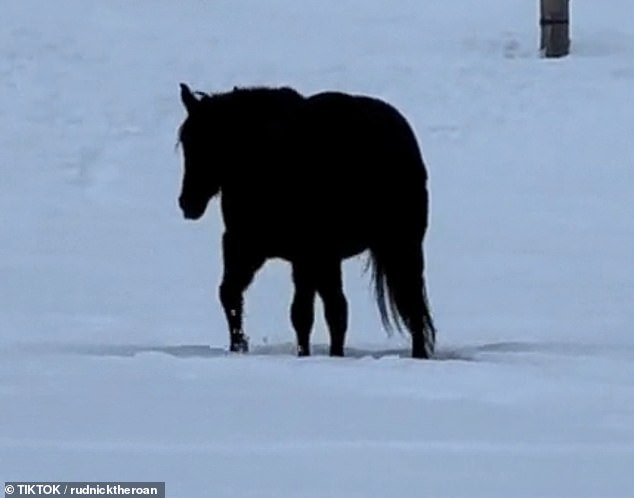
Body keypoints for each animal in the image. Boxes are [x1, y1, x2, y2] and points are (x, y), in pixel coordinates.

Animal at [175, 82, 436, 358]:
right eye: (186, 143)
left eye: (212, 142)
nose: (187, 202)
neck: (265, 163)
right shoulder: (245, 245)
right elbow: (230, 294)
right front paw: (238, 347)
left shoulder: (306, 254)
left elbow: (301, 313)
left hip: (399, 246)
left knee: (409, 303)